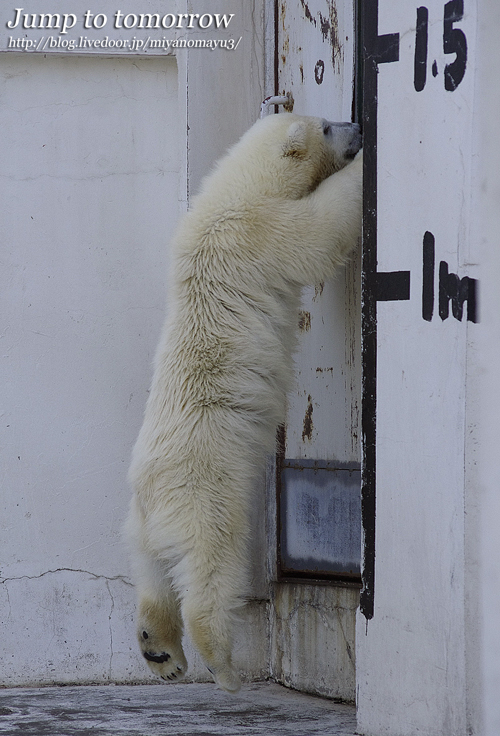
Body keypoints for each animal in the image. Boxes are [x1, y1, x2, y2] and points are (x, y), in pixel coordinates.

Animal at [127, 112, 362, 692]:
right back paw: (223, 666)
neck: (234, 194)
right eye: (326, 126)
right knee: (211, 566)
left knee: (152, 573)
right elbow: (318, 232)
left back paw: (161, 651)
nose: (355, 126)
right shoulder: (261, 232)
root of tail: (149, 491)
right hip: (207, 491)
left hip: (143, 522)